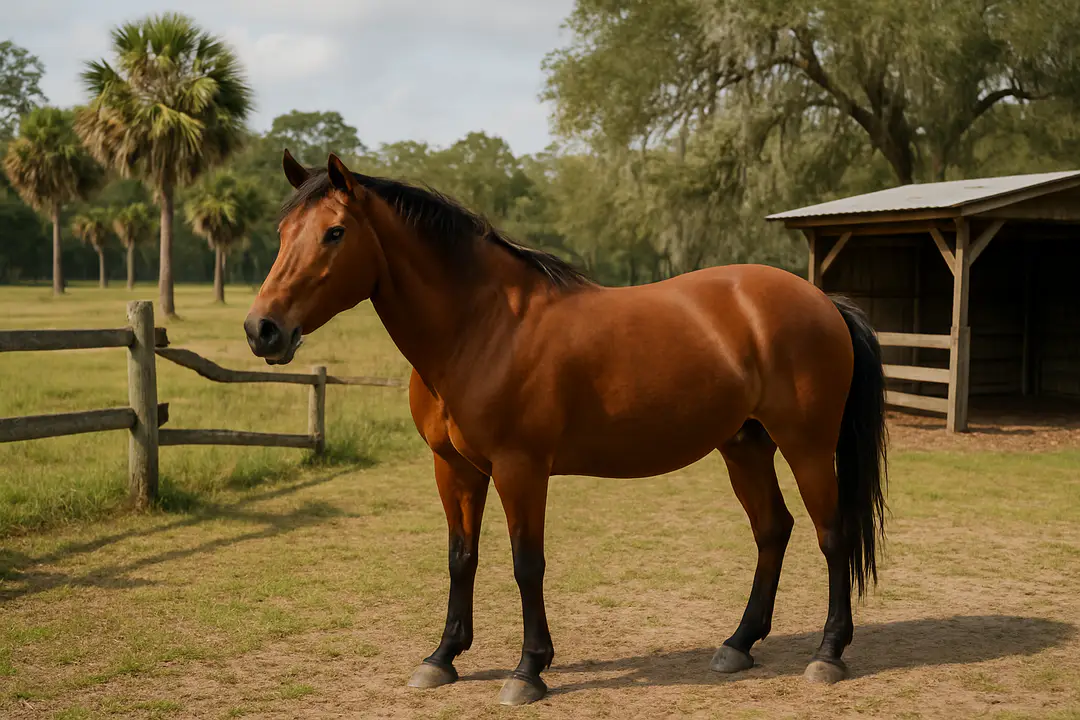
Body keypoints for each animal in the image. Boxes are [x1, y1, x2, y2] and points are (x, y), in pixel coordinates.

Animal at [244, 151, 888, 706]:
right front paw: (443, 657)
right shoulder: (454, 469)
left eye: (334, 233)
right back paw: (738, 644)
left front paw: (528, 670)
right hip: (744, 445)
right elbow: (461, 556)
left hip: (807, 446)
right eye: (281, 232)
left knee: (832, 536)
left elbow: (526, 564)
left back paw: (828, 654)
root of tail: (823, 301)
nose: (262, 329)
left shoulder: (520, 468)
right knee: (772, 530)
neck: (482, 327)